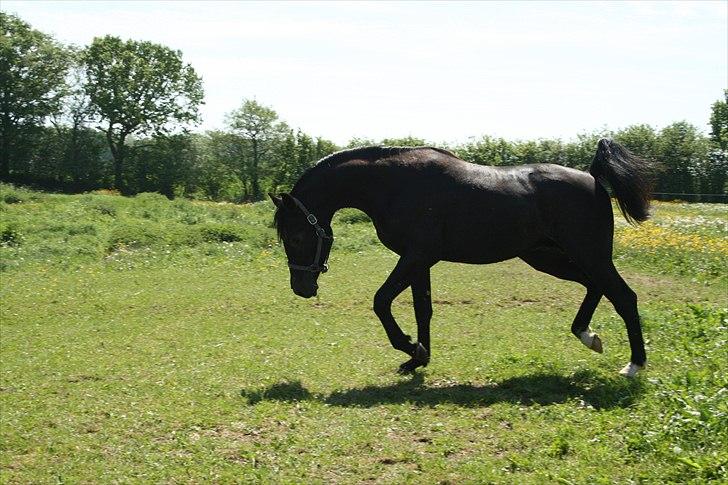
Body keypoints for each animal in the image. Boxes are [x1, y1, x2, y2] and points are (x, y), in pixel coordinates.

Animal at [272, 138, 656, 376]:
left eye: (295, 236)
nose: (302, 287)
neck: (395, 184)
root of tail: (593, 177)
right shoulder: (419, 261)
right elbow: (422, 309)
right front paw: (418, 358)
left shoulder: (416, 257)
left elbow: (381, 301)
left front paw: (409, 347)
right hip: (547, 257)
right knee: (595, 287)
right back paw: (587, 335)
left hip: (590, 255)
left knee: (624, 296)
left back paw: (634, 365)